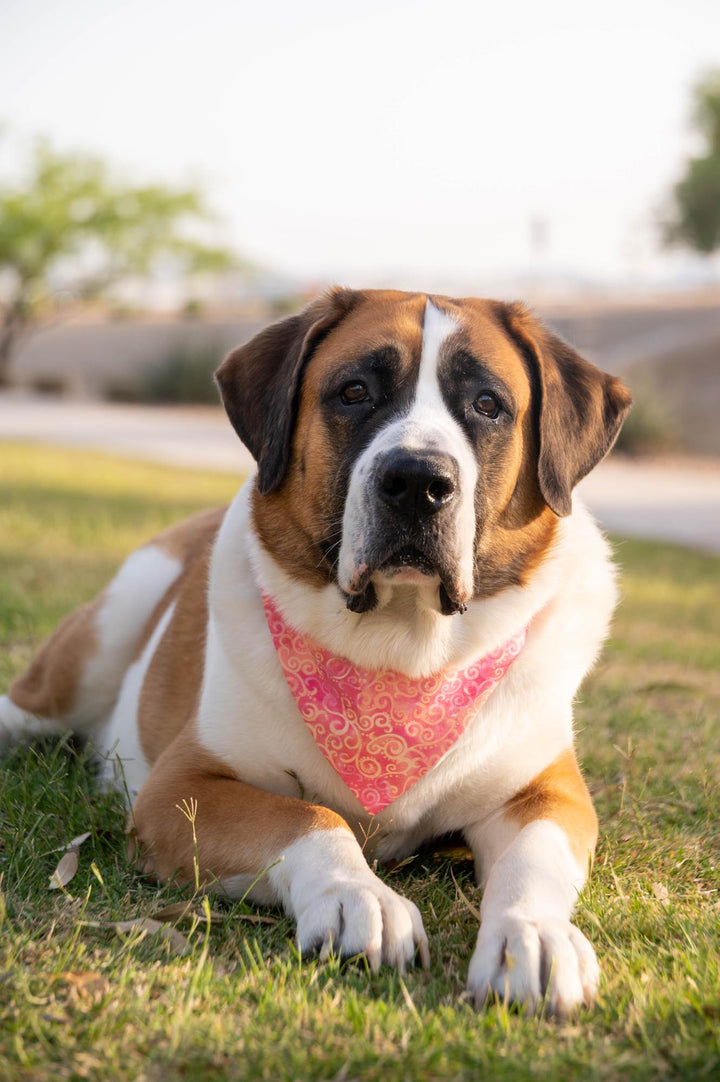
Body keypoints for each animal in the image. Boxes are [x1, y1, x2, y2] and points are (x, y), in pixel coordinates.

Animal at [0, 287, 627, 1012]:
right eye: (354, 391)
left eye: (488, 404)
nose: (418, 480)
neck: (403, 651)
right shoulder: (180, 790)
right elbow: (304, 814)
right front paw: (358, 896)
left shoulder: (547, 791)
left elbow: (536, 856)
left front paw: (534, 934)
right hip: (98, 640)